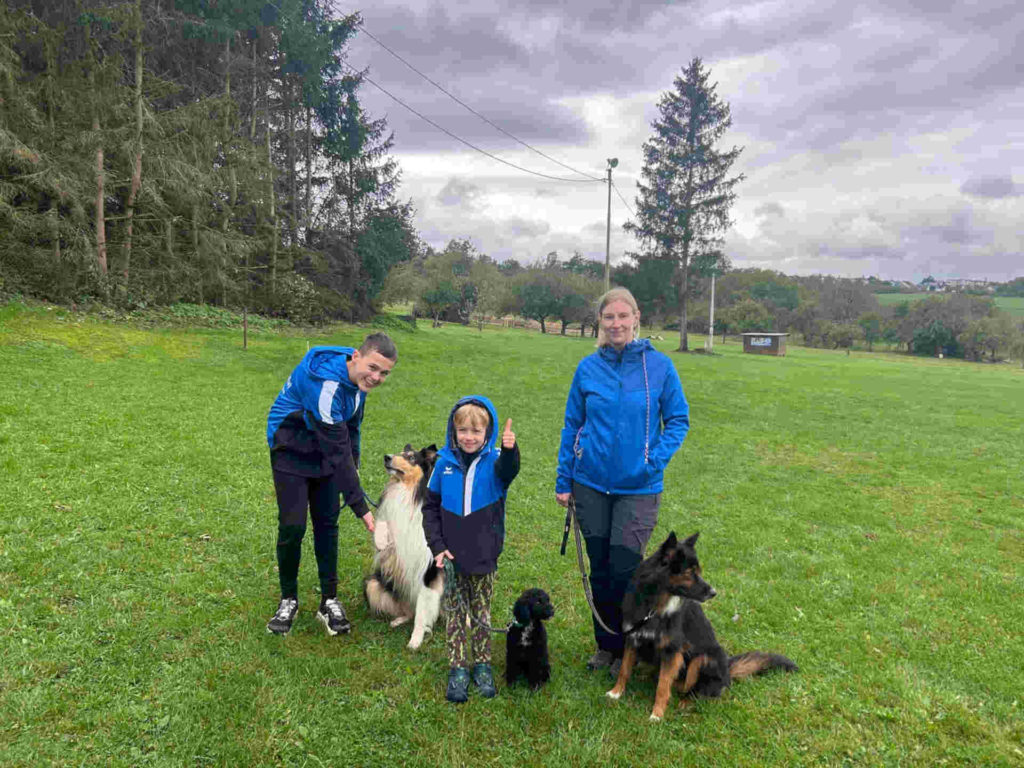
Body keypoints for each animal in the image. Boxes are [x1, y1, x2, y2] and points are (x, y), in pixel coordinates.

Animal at [364, 444, 444, 651]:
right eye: (399, 452)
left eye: (410, 457)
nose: (386, 457)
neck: (408, 492)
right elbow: (381, 525)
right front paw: (381, 539)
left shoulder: (428, 572)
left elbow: (422, 613)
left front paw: (415, 640)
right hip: (373, 583)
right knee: (408, 610)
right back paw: (399, 619)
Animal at [602, 536, 794, 720]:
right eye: (689, 573)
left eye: (698, 572)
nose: (714, 592)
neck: (654, 606)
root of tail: (727, 671)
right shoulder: (633, 639)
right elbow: (624, 670)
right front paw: (616, 693)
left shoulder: (672, 652)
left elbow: (663, 687)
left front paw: (657, 714)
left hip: (702, 660)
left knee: (695, 689)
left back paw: (686, 702)